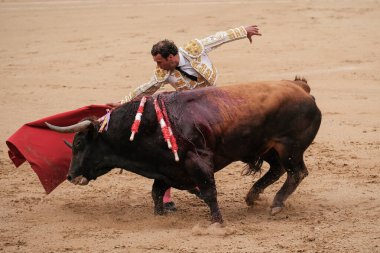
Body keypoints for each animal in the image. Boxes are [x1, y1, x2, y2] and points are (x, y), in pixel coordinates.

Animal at [46, 77, 320, 223]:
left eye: (78, 144)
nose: (70, 176)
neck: (148, 125)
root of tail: (301, 88)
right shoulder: (165, 167)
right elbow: (156, 192)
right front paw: (159, 216)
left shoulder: (197, 160)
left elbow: (208, 191)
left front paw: (217, 221)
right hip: (269, 149)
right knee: (277, 170)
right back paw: (252, 197)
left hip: (290, 147)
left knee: (296, 173)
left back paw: (276, 204)